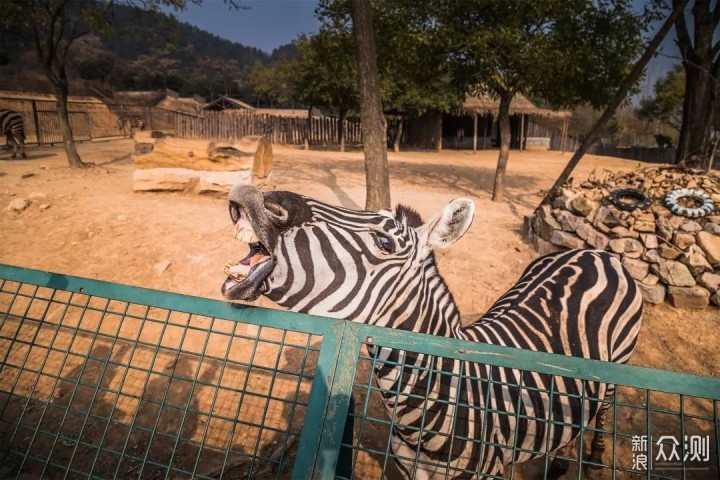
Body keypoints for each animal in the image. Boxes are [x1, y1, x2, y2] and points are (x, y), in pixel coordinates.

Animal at [222, 185, 644, 480]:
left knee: (602, 413)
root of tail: (593, 251)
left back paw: (592, 461)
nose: (253, 195)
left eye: (385, 241)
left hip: (617, 368)